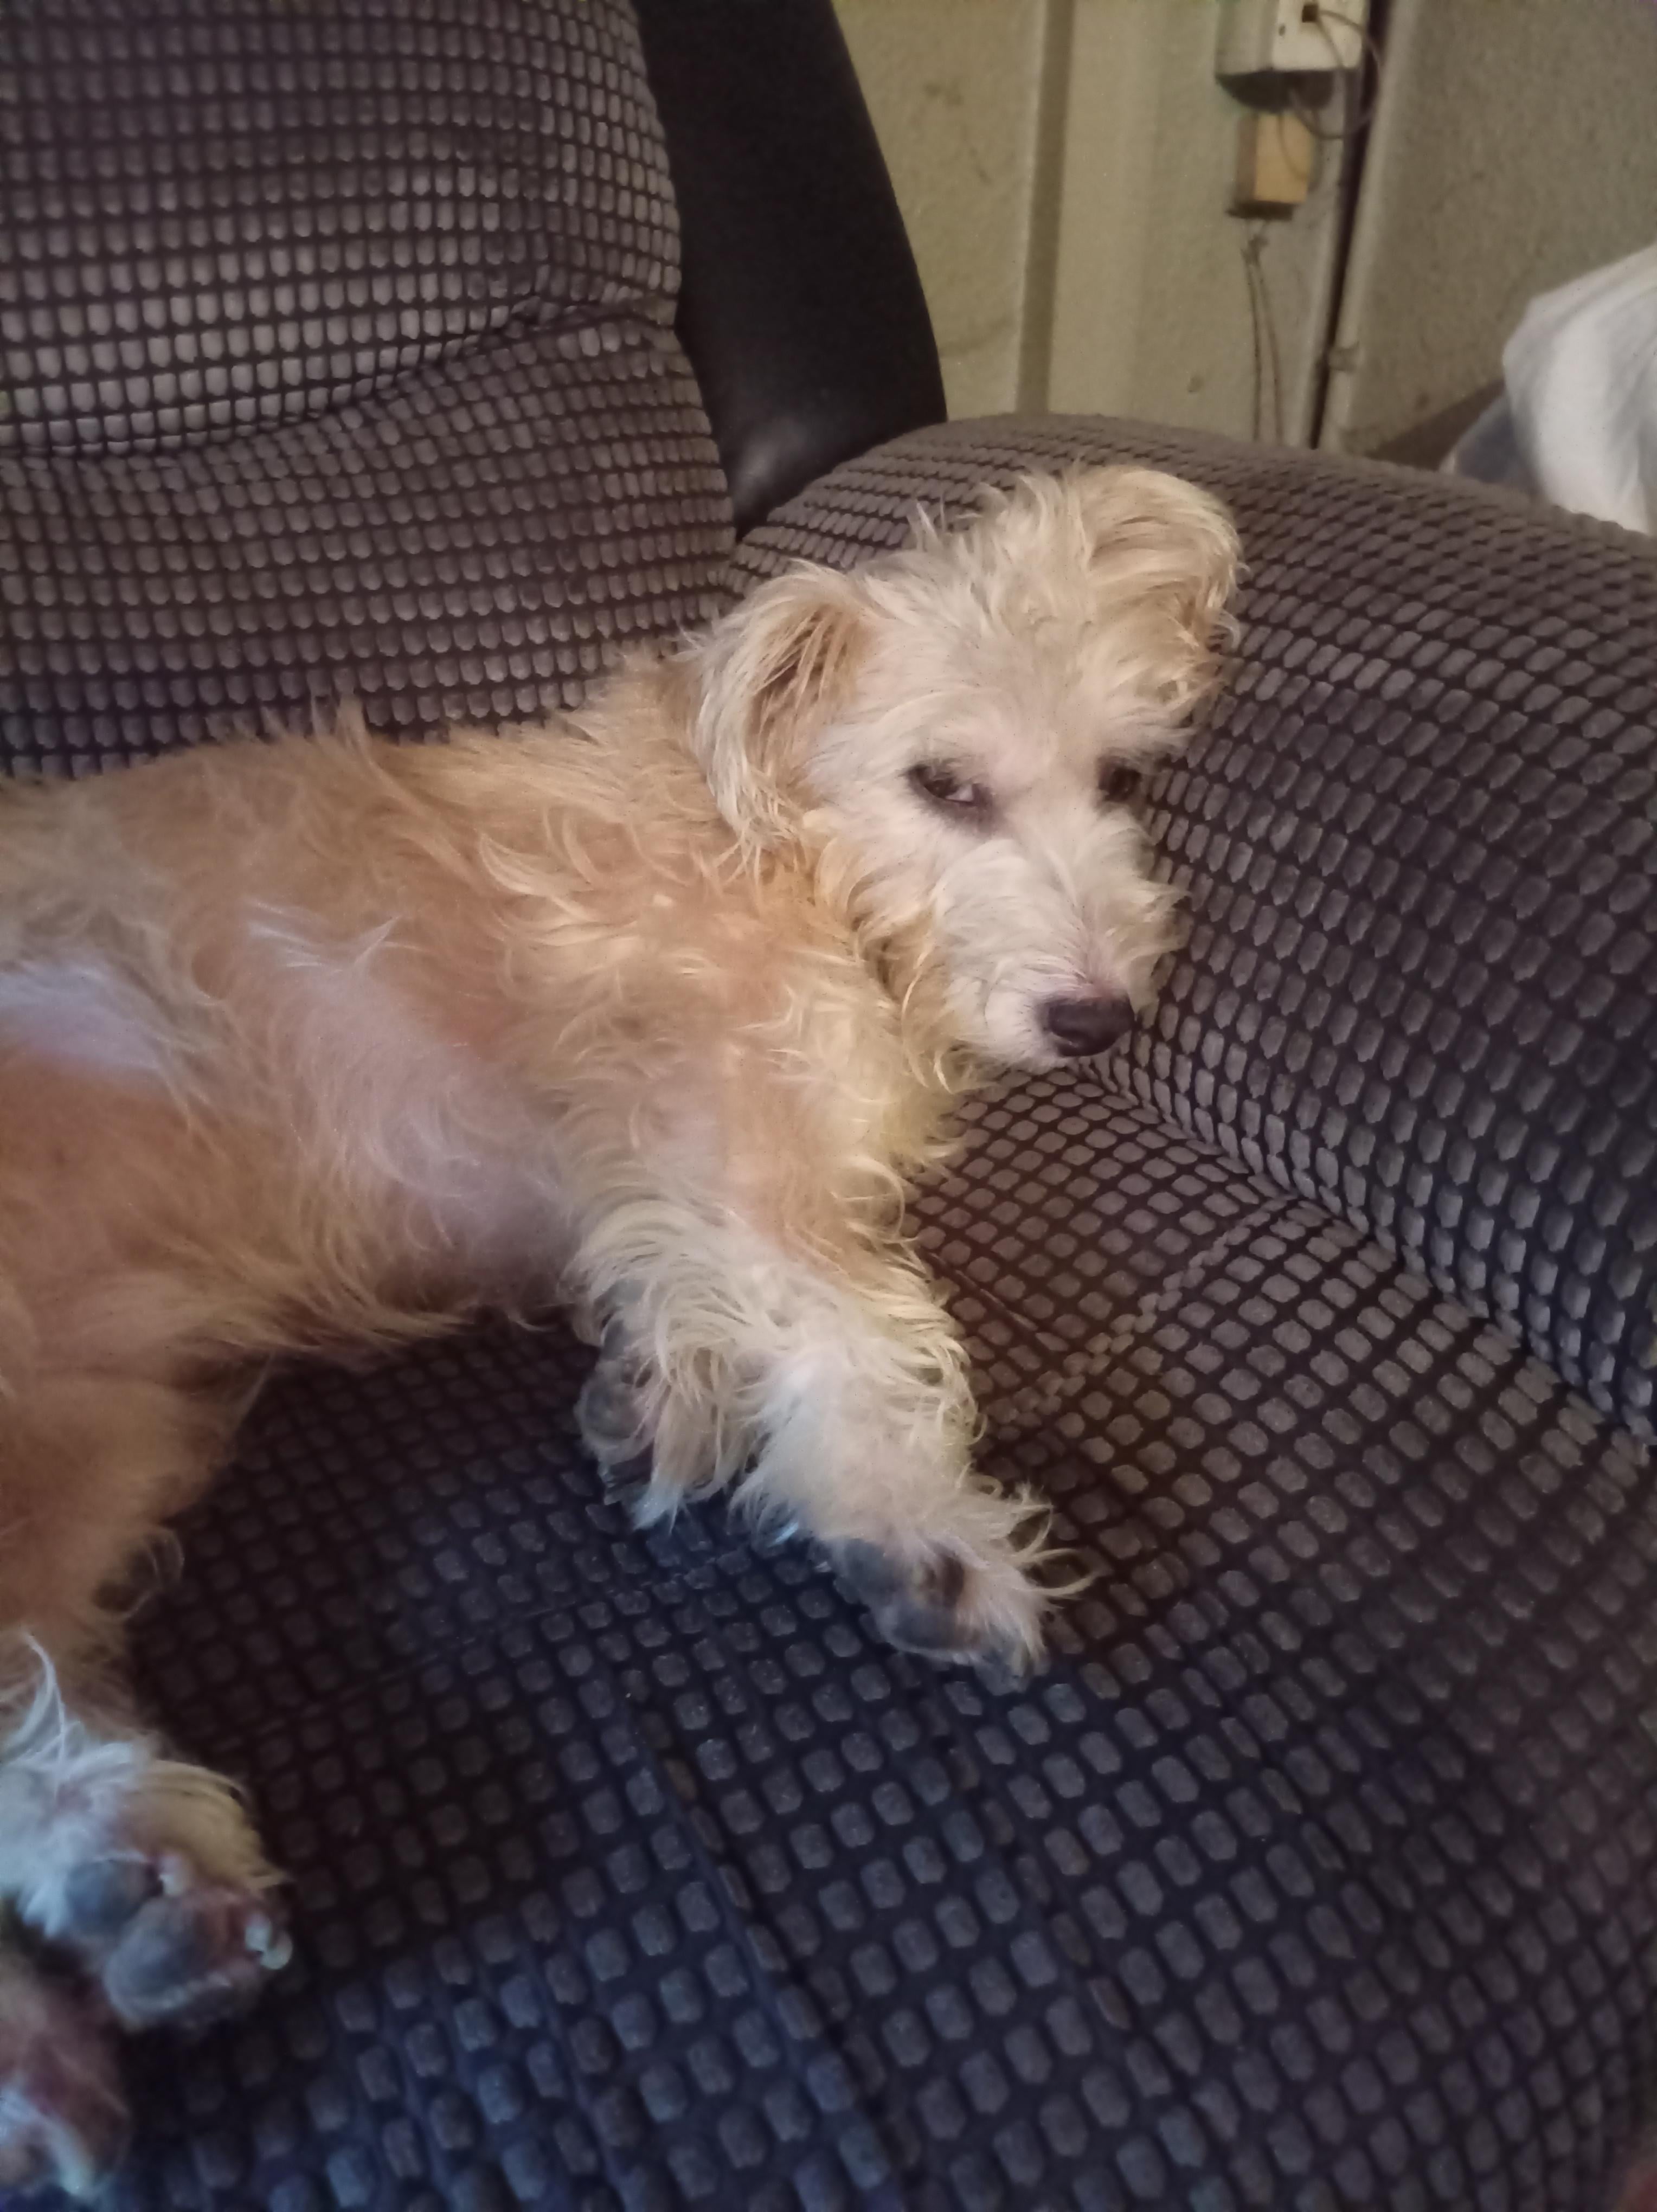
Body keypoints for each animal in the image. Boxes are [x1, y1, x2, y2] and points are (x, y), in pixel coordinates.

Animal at [0, 464, 1237, 2190]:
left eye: (1120, 776)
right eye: (944, 784)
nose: (1100, 1019)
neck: (785, 859)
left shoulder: (673, 1175)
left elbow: (693, 1294)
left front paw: (667, 1399)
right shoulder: (724, 1135)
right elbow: (862, 1323)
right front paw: (913, 1519)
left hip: (99, 1427)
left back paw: (117, 1936)